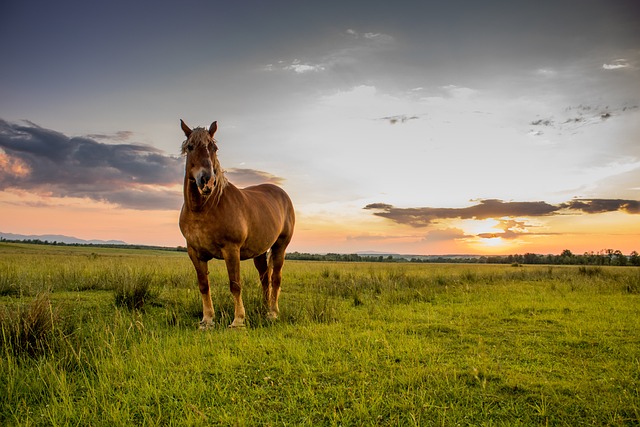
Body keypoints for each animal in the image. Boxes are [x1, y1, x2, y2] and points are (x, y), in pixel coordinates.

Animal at [179, 120, 296, 332]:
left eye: (214, 148)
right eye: (190, 147)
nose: (207, 181)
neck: (205, 208)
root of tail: (281, 193)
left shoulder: (231, 250)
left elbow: (235, 285)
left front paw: (238, 321)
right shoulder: (194, 252)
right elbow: (203, 285)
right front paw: (207, 320)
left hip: (280, 247)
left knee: (275, 278)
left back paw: (272, 313)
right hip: (259, 251)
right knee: (264, 278)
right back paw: (264, 308)